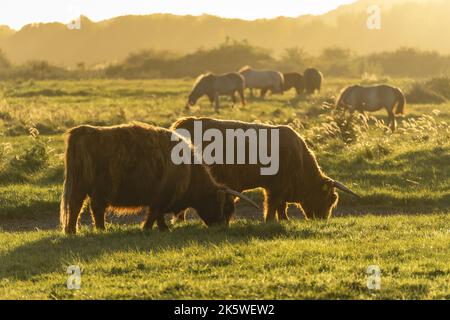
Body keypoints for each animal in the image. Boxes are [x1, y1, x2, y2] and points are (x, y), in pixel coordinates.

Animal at [59, 124, 256, 234]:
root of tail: (83, 131)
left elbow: (158, 215)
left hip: (79, 186)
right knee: (96, 208)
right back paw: (101, 229)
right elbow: (154, 214)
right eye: (225, 207)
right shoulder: (162, 197)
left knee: (76, 206)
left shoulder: (160, 198)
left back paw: (71, 231)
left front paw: (162, 228)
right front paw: (149, 228)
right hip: (100, 188)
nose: (221, 226)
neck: (190, 171)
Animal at [170, 117, 358, 222]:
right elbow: (273, 204)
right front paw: (270, 220)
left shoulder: (277, 188)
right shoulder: (276, 187)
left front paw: (284, 219)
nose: (322, 219)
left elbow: (281, 206)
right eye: (329, 198)